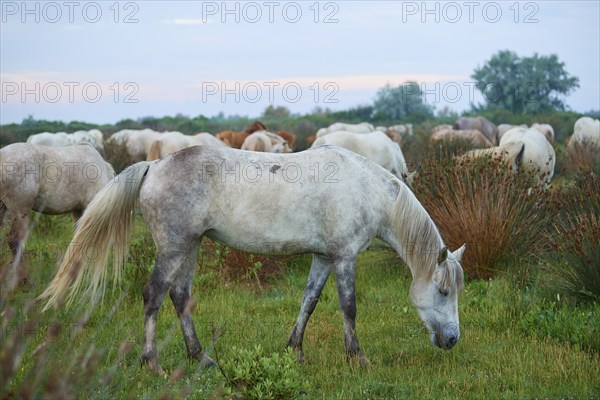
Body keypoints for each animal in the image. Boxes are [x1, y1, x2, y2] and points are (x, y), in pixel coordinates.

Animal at [39, 145, 466, 374]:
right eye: (443, 291)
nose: (452, 340)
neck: (367, 189)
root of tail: (155, 165)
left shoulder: (323, 257)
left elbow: (309, 301)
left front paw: (295, 350)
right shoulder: (344, 257)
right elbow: (349, 307)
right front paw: (357, 358)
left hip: (190, 248)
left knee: (180, 297)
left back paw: (202, 358)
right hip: (174, 248)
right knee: (154, 296)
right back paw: (153, 363)